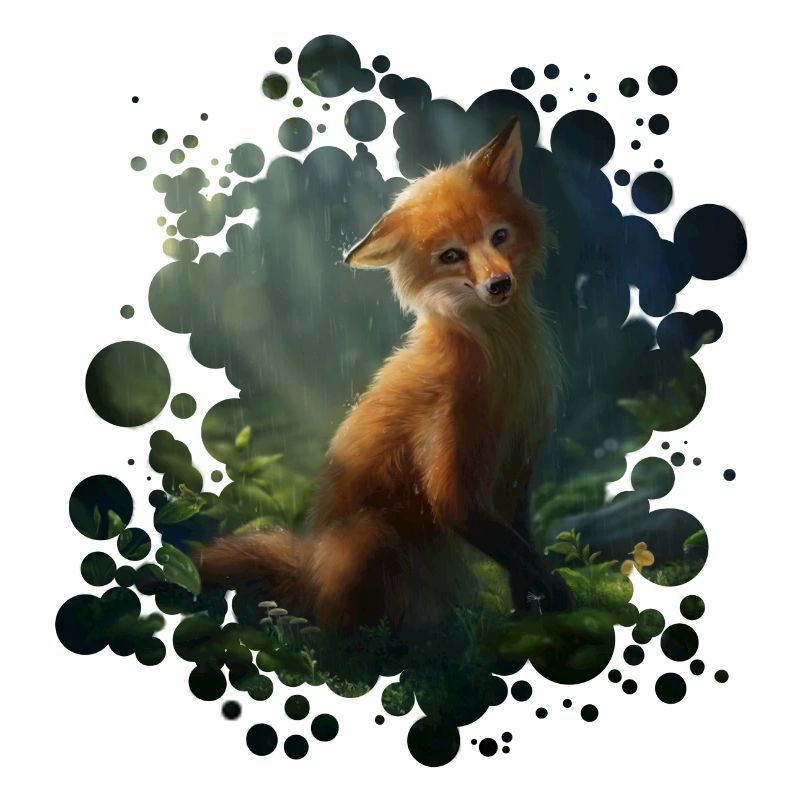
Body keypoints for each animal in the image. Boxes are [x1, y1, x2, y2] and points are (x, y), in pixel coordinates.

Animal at [195, 117, 574, 631]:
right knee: (346, 625)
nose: (499, 284)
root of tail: (308, 571)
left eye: (499, 236)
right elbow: (514, 548)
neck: (501, 366)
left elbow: (522, 547)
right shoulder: (452, 478)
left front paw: (531, 610)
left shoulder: (518, 464)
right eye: (451, 255)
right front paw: (555, 595)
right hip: (372, 536)